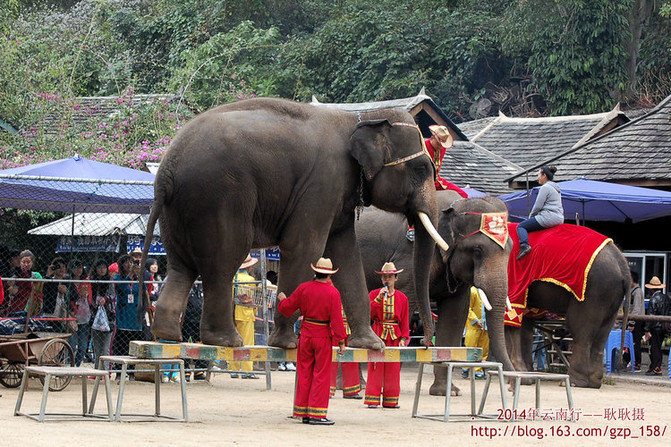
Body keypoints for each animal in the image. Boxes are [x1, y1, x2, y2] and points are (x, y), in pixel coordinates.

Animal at [142, 98, 448, 354]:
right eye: (421, 169)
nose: (423, 344)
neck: (360, 118)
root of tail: (166, 170)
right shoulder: (323, 183)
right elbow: (303, 247)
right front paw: (286, 344)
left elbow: (346, 253)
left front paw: (370, 346)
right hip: (219, 198)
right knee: (223, 262)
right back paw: (227, 341)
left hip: (178, 210)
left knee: (182, 266)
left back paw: (167, 335)